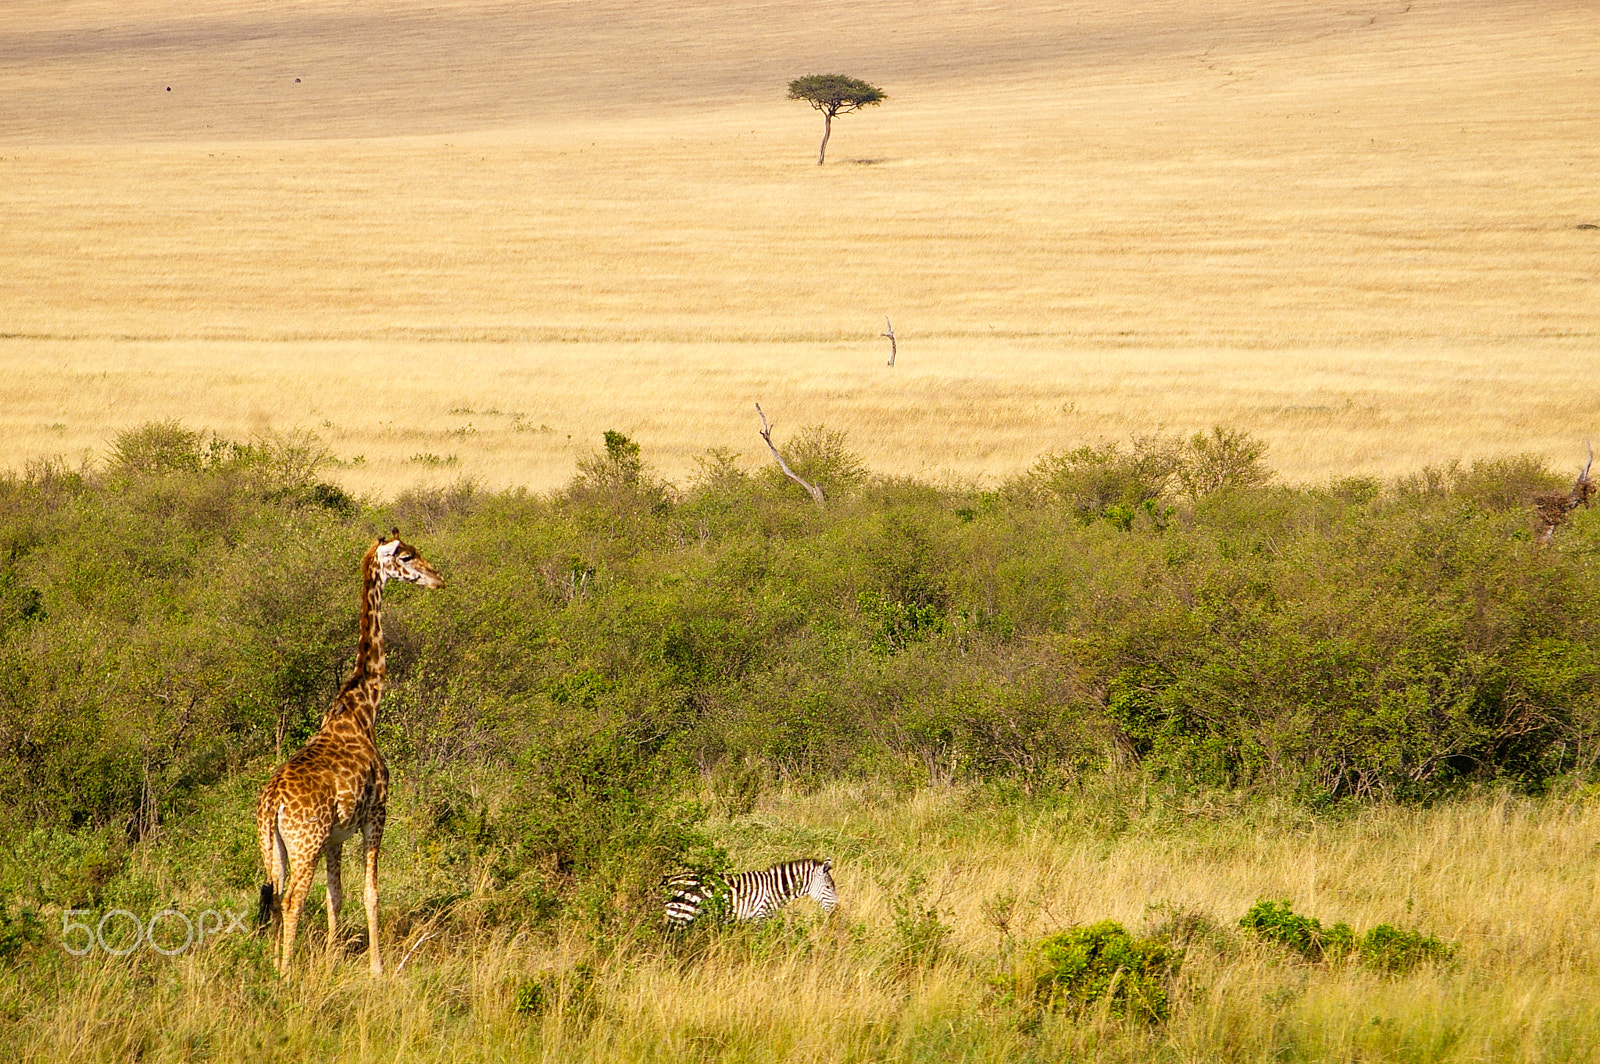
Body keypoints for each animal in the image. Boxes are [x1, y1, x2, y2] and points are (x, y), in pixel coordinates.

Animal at [256, 528, 444, 972]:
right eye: (406, 557)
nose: (438, 579)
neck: (361, 708)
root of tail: (272, 803)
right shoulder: (377, 813)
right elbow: (370, 893)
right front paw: (376, 967)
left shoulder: (336, 837)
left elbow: (335, 897)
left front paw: (332, 959)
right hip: (304, 844)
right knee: (291, 901)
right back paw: (285, 973)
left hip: (273, 847)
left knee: (273, 897)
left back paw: (272, 963)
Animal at [662, 857, 838, 921]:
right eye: (828, 887)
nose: (836, 911)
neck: (775, 889)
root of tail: (670, 880)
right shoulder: (760, 915)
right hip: (683, 912)